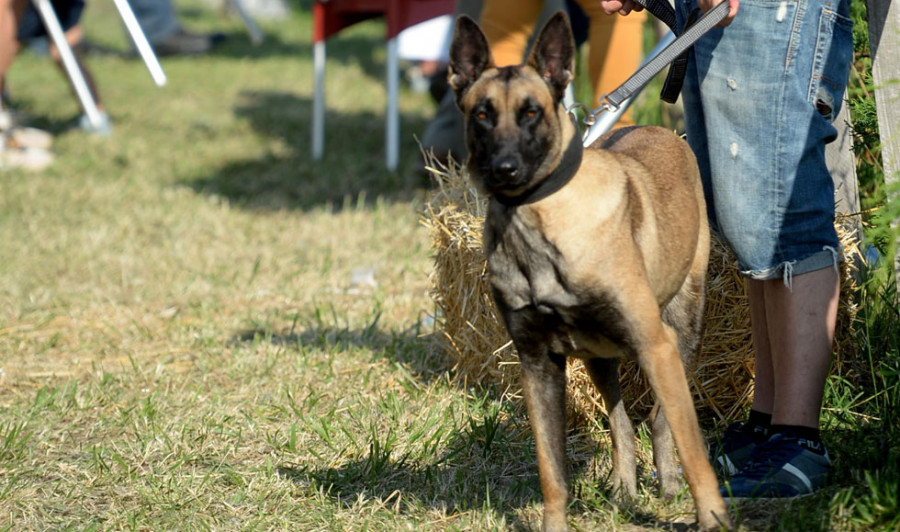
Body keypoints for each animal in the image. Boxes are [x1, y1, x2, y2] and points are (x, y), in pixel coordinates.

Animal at [446, 12, 736, 532]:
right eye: (481, 113)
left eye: (532, 112)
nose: (504, 169)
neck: (537, 225)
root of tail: (661, 130)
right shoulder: (538, 364)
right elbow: (552, 472)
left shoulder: (654, 344)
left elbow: (694, 452)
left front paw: (712, 516)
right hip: (599, 355)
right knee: (621, 420)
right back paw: (625, 486)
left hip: (680, 334)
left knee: (662, 419)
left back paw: (667, 481)